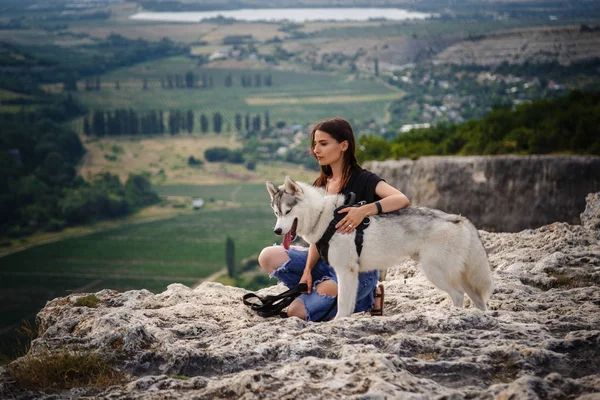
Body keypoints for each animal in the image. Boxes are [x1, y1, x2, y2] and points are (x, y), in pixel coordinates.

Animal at [268, 177, 492, 320]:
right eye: (277, 212)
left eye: (288, 211)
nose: (277, 230)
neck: (325, 216)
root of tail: (459, 219)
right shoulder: (350, 274)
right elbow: (348, 305)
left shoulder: (346, 271)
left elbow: (342, 305)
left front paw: (338, 322)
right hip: (461, 276)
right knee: (478, 299)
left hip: (436, 272)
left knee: (458, 295)